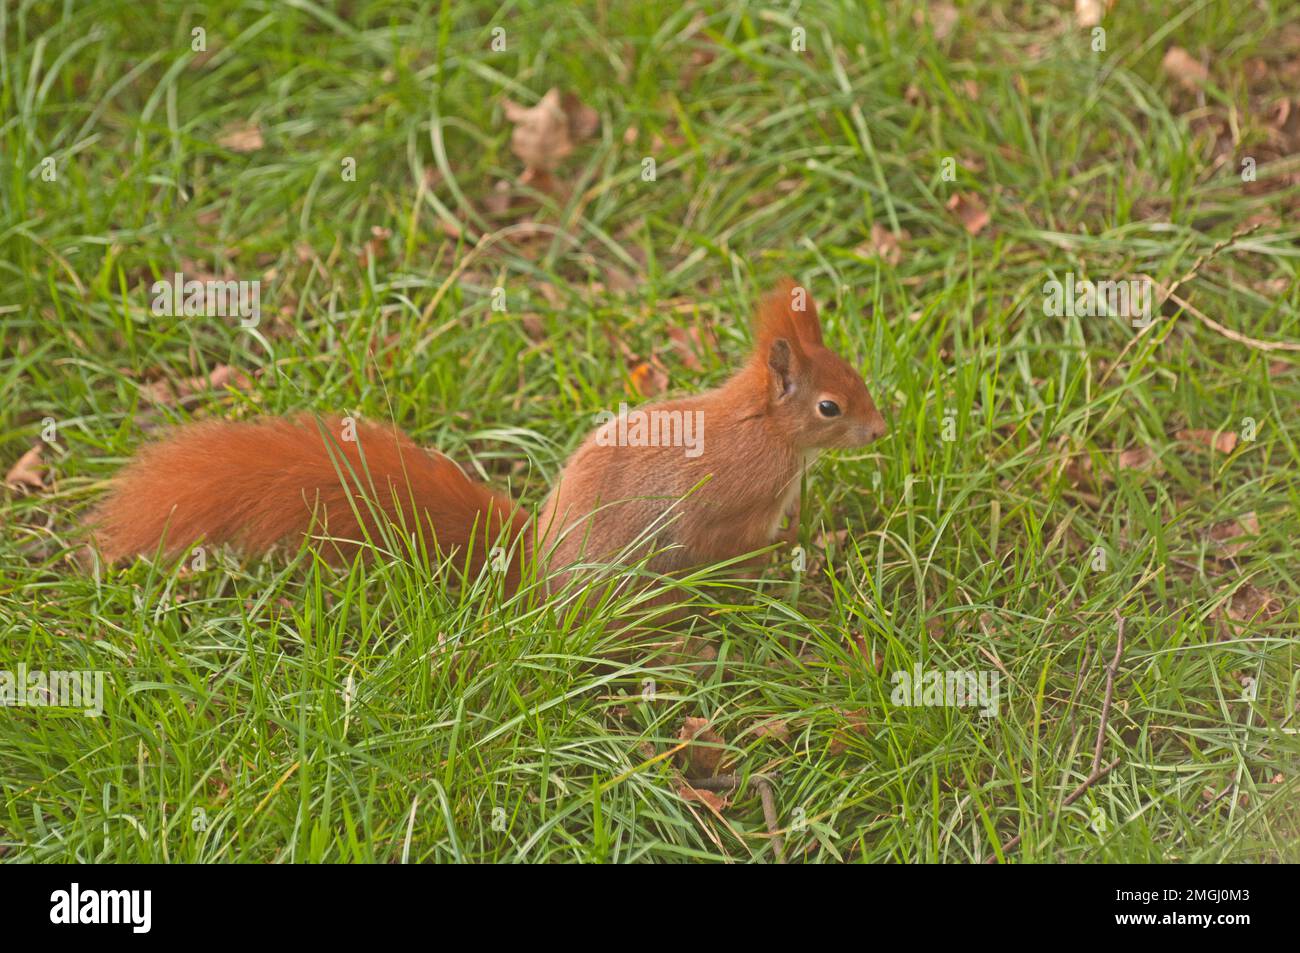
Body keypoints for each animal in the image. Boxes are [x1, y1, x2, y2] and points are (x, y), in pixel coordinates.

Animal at [88, 279, 888, 591]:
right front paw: (799, 559)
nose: (882, 429)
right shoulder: (736, 507)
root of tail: (532, 575)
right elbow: (744, 547)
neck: (769, 432)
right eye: (829, 406)